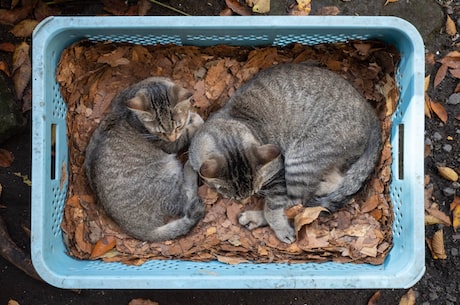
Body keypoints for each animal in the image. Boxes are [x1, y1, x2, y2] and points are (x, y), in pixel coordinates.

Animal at [84, 77, 205, 241]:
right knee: (186, 199)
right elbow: (189, 131)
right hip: (167, 178)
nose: (172, 136)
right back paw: (190, 168)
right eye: (160, 132)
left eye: (177, 126)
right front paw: (195, 118)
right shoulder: (169, 145)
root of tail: (138, 231)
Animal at [187, 63, 380, 242]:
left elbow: (273, 206)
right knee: (333, 183)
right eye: (234, 197)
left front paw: (280, 227)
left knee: (298, 202)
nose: (245, 200)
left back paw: (255, 217)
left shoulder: (278, 173)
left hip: (300, 160)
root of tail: (372, 115)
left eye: (253, 191)